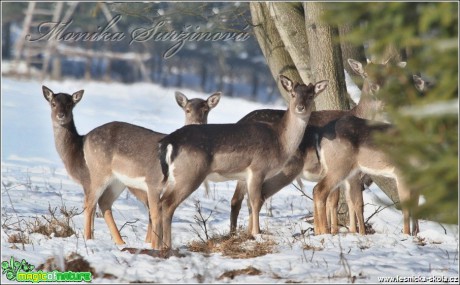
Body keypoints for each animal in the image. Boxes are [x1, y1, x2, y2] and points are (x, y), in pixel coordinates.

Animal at [43, 85, 221, 247]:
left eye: (206, 110)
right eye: (187, 110)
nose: (61, 115)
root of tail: (86, 138)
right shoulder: (153, 181)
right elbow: (156, 215)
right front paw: (153, 246)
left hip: (117, 182)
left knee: (103, 202)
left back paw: (120, 242)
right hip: (100, 172)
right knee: (90, 202)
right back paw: (90, 240)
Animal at [157, 76, 328, 247]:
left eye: (311, 95)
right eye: (293, 94)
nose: (300, 107)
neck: (280, 141)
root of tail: (170, 141)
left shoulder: (246, 175)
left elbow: (249, 202)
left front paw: (249, 233)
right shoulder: (258, 168)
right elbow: (256, 201)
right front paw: (257, 233)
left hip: (175, 176)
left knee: (160, 202)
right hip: (190, 173)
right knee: (168, 204)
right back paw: (167, 245)